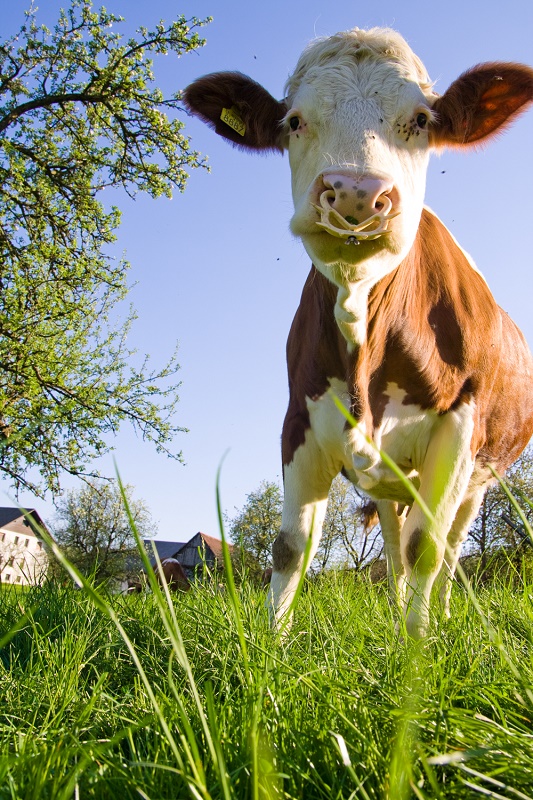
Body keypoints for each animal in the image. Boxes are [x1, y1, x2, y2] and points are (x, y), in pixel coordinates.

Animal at [185, 26, 532, 636]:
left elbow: (428, 548)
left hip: (482, 474)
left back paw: (439, 614)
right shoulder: (298, 418)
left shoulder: (459, 427)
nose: (353, 192)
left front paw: (416, 648)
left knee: (449, 543)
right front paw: (272, 648)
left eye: (421, 119)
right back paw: (395, 606)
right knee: (393, 539)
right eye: (294, 121)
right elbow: (290, 546)